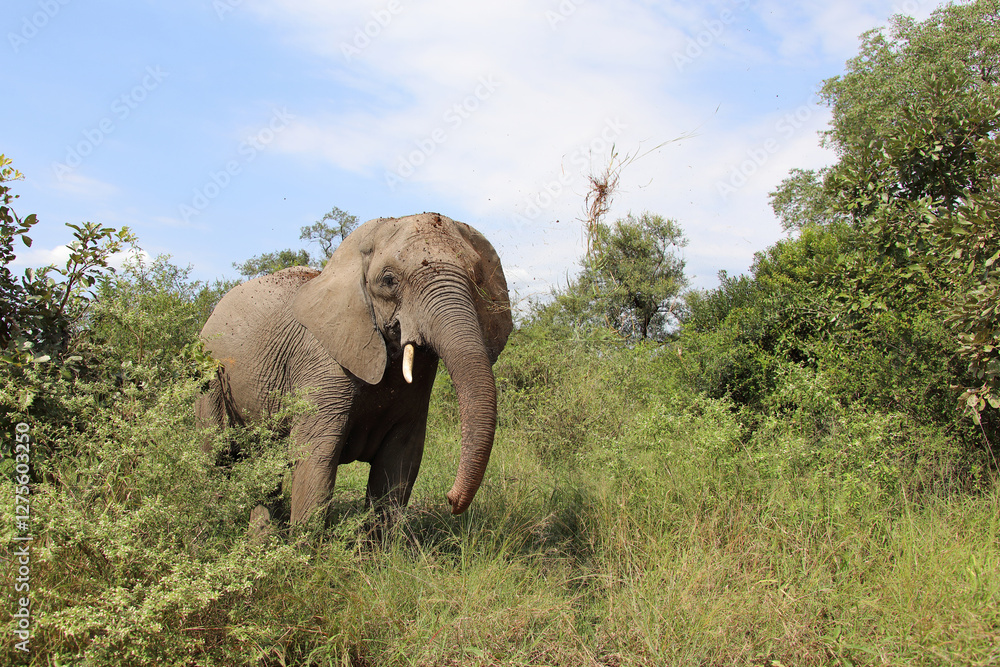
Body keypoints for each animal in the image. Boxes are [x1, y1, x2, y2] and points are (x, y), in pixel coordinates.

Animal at [196, 212, 512, 525]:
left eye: (477, 279)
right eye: (388, 280)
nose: (450, 500)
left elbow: (399, 463)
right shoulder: (320, 362)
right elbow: (315, 458)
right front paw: (305, 541)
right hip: (210, 378)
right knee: (215, 455)